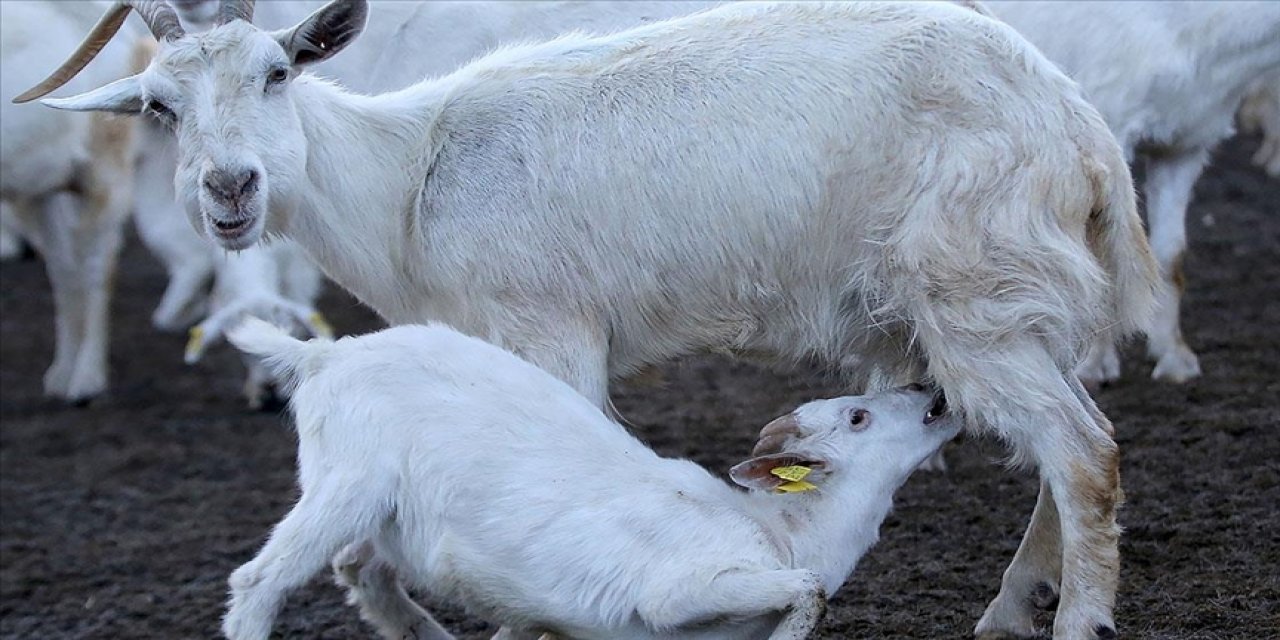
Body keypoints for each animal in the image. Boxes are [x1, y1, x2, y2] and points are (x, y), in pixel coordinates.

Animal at [222, 320, 962, 640]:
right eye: (858, 416)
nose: (931, 391)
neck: (780, 533)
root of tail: (323, 353)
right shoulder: (677, 595)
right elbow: (810, 594)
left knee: (358, 571)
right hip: (347, 480)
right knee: (259, 581)